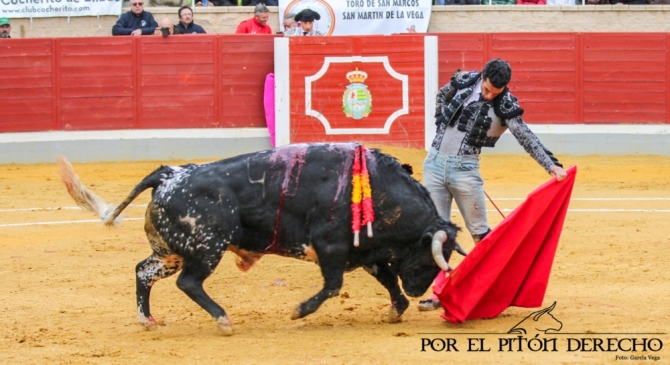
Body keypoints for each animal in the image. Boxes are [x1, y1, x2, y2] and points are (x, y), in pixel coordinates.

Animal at [57, 141, 462, 332]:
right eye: (431, 258)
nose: (420, 291)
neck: (378, 190)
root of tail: (171, 174)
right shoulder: (332, 248)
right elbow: (333, 286)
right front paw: (299, 311)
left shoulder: (364, 253)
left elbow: (387, 278)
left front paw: (397, 309)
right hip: (207, 247)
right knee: (189, 282)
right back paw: (222, 319)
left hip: (171, 251)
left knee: (144, 272)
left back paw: (147, 320)